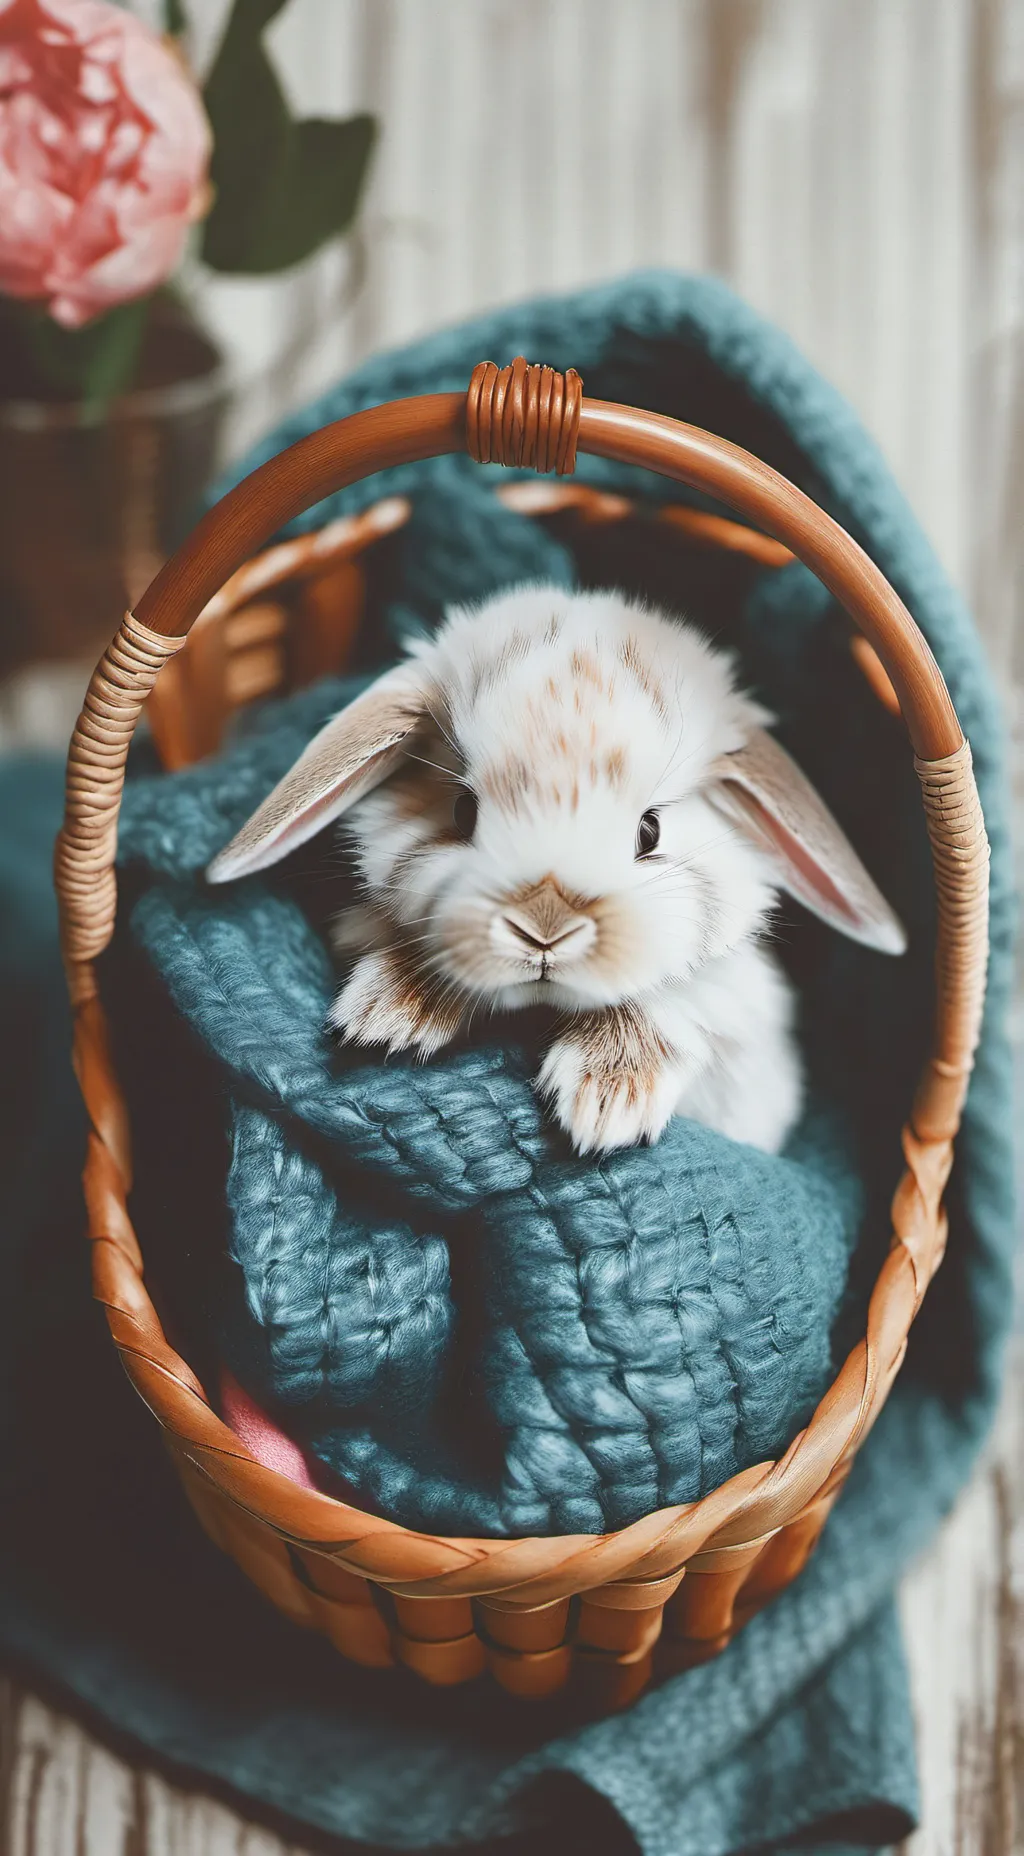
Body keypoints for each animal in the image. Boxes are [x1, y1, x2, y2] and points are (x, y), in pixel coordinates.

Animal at [208, 585, 906, 1156]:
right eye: (462, 810)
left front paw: (606, 1105)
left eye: (649, 830)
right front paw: (387, 1017)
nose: (544, 927)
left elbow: (672, 997)